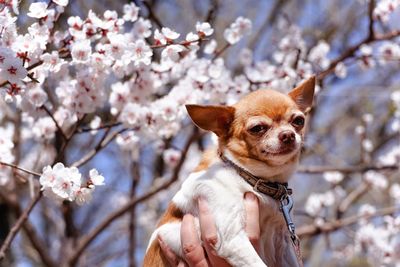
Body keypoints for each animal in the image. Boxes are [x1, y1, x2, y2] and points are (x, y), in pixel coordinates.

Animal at [144, 76, 316, 266]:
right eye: (257, 128)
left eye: (299, 121)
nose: (288, 134)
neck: (249, 177)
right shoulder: (232, 239)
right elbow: (258, 263)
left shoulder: (283, 244)